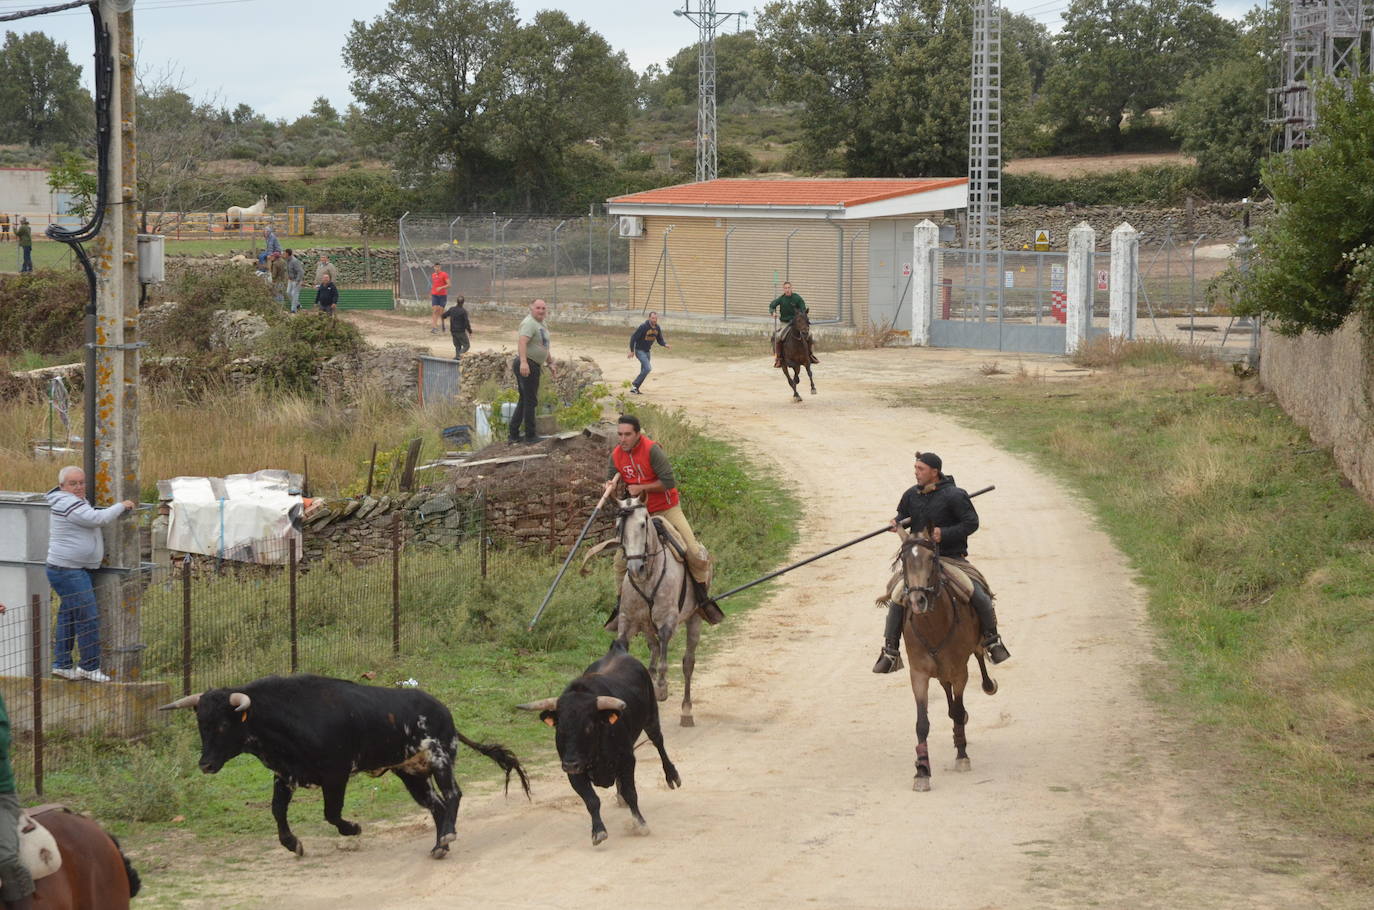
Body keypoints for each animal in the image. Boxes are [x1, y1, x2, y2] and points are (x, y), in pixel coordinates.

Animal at [159, 676, 524, 863]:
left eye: (222, 725)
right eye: (200, 724)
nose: (205, 764)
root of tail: (443, 710)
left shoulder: (335, 774)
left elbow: (332, 813)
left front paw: (353, 829)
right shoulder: (285, 774)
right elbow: (278, 810)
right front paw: (292, 844)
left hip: (440, 758)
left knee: (453, 794)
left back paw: (447, 836)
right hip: (410, 772)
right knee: (436, 804)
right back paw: (439, 846)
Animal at [516, 640, 678, 846]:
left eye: (588, 727)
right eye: (560, 728)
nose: (571, 763)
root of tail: (618, 650)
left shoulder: (627, 760)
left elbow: (631, 793)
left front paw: (640, 824)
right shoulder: (574, 771)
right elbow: (592, 800)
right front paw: (598, 831)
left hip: (651, 718)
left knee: (659, 742)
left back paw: (672, 775)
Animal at [884, 527, 1005, 791]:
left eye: (932, 558)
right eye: (904, 560)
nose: (917, 601)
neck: (933, 623)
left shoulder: (960, 671)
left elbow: (958, 711)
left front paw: (962, 756)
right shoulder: (918, 674)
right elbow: (922, 723)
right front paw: (921, 771)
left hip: (973, 646)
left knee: (980, 658)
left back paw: (989, 682)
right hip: (939, 668)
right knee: (944, 685)